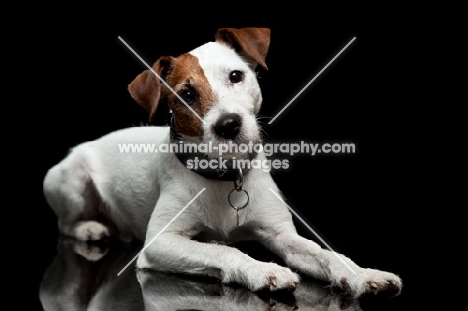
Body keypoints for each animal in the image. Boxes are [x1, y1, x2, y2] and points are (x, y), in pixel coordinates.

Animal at [43, 28, 402, 298]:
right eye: (186, 95)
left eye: (236, 76)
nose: (228, 125)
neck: (224, 176)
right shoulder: (161, 243)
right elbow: (223, 250)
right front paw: (262, 269)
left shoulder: (283, 236)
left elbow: (326, 254)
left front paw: (360, 273)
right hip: (67, 181)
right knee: (65, 225)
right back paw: (90, 228)